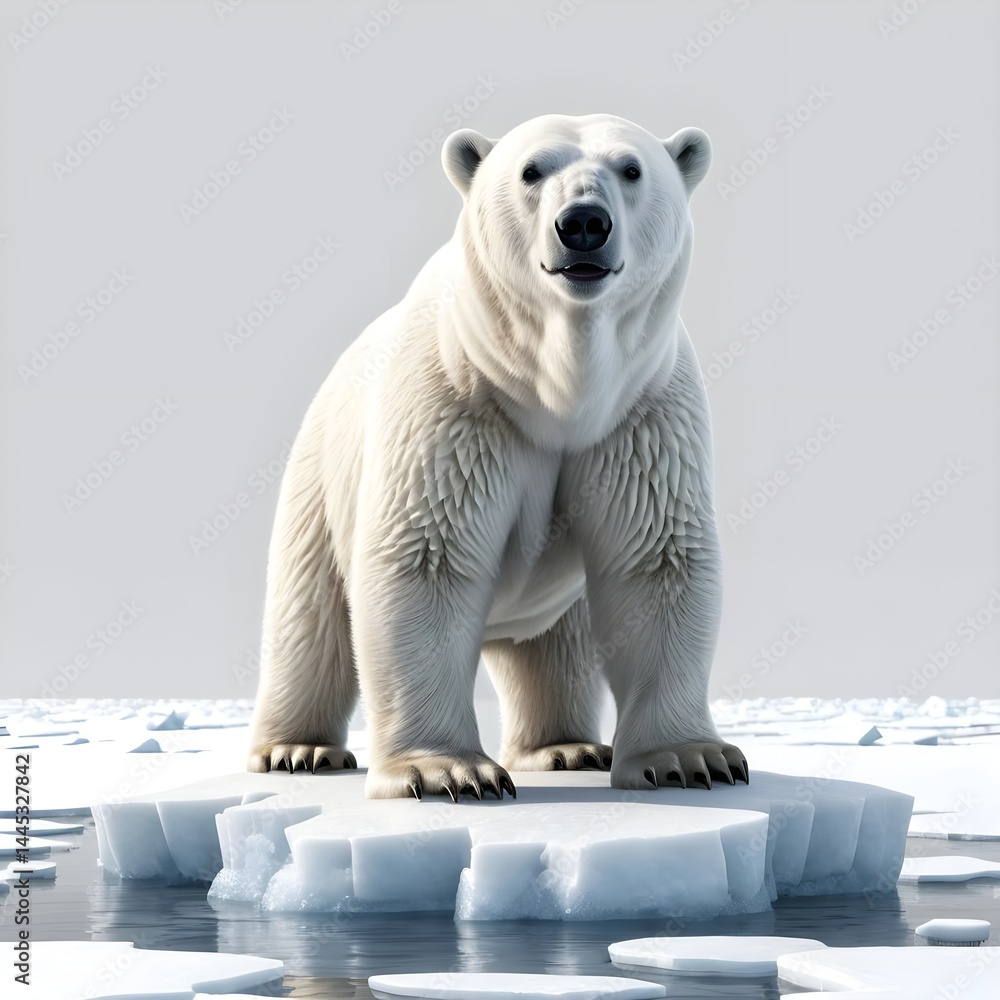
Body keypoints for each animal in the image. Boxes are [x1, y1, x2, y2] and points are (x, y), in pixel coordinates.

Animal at [247, 113, 748, 800]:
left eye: (631, 168)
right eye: (531, 170)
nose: (583, 223)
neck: (557, 391)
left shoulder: (642, 419)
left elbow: (656, 559)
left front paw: (691, 759)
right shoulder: (453, 406)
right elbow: (427, 559)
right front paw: (445, 771)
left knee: (557, 644)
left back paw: (566, 747)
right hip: (320, 476)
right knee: (310, 618)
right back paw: (298, 748)